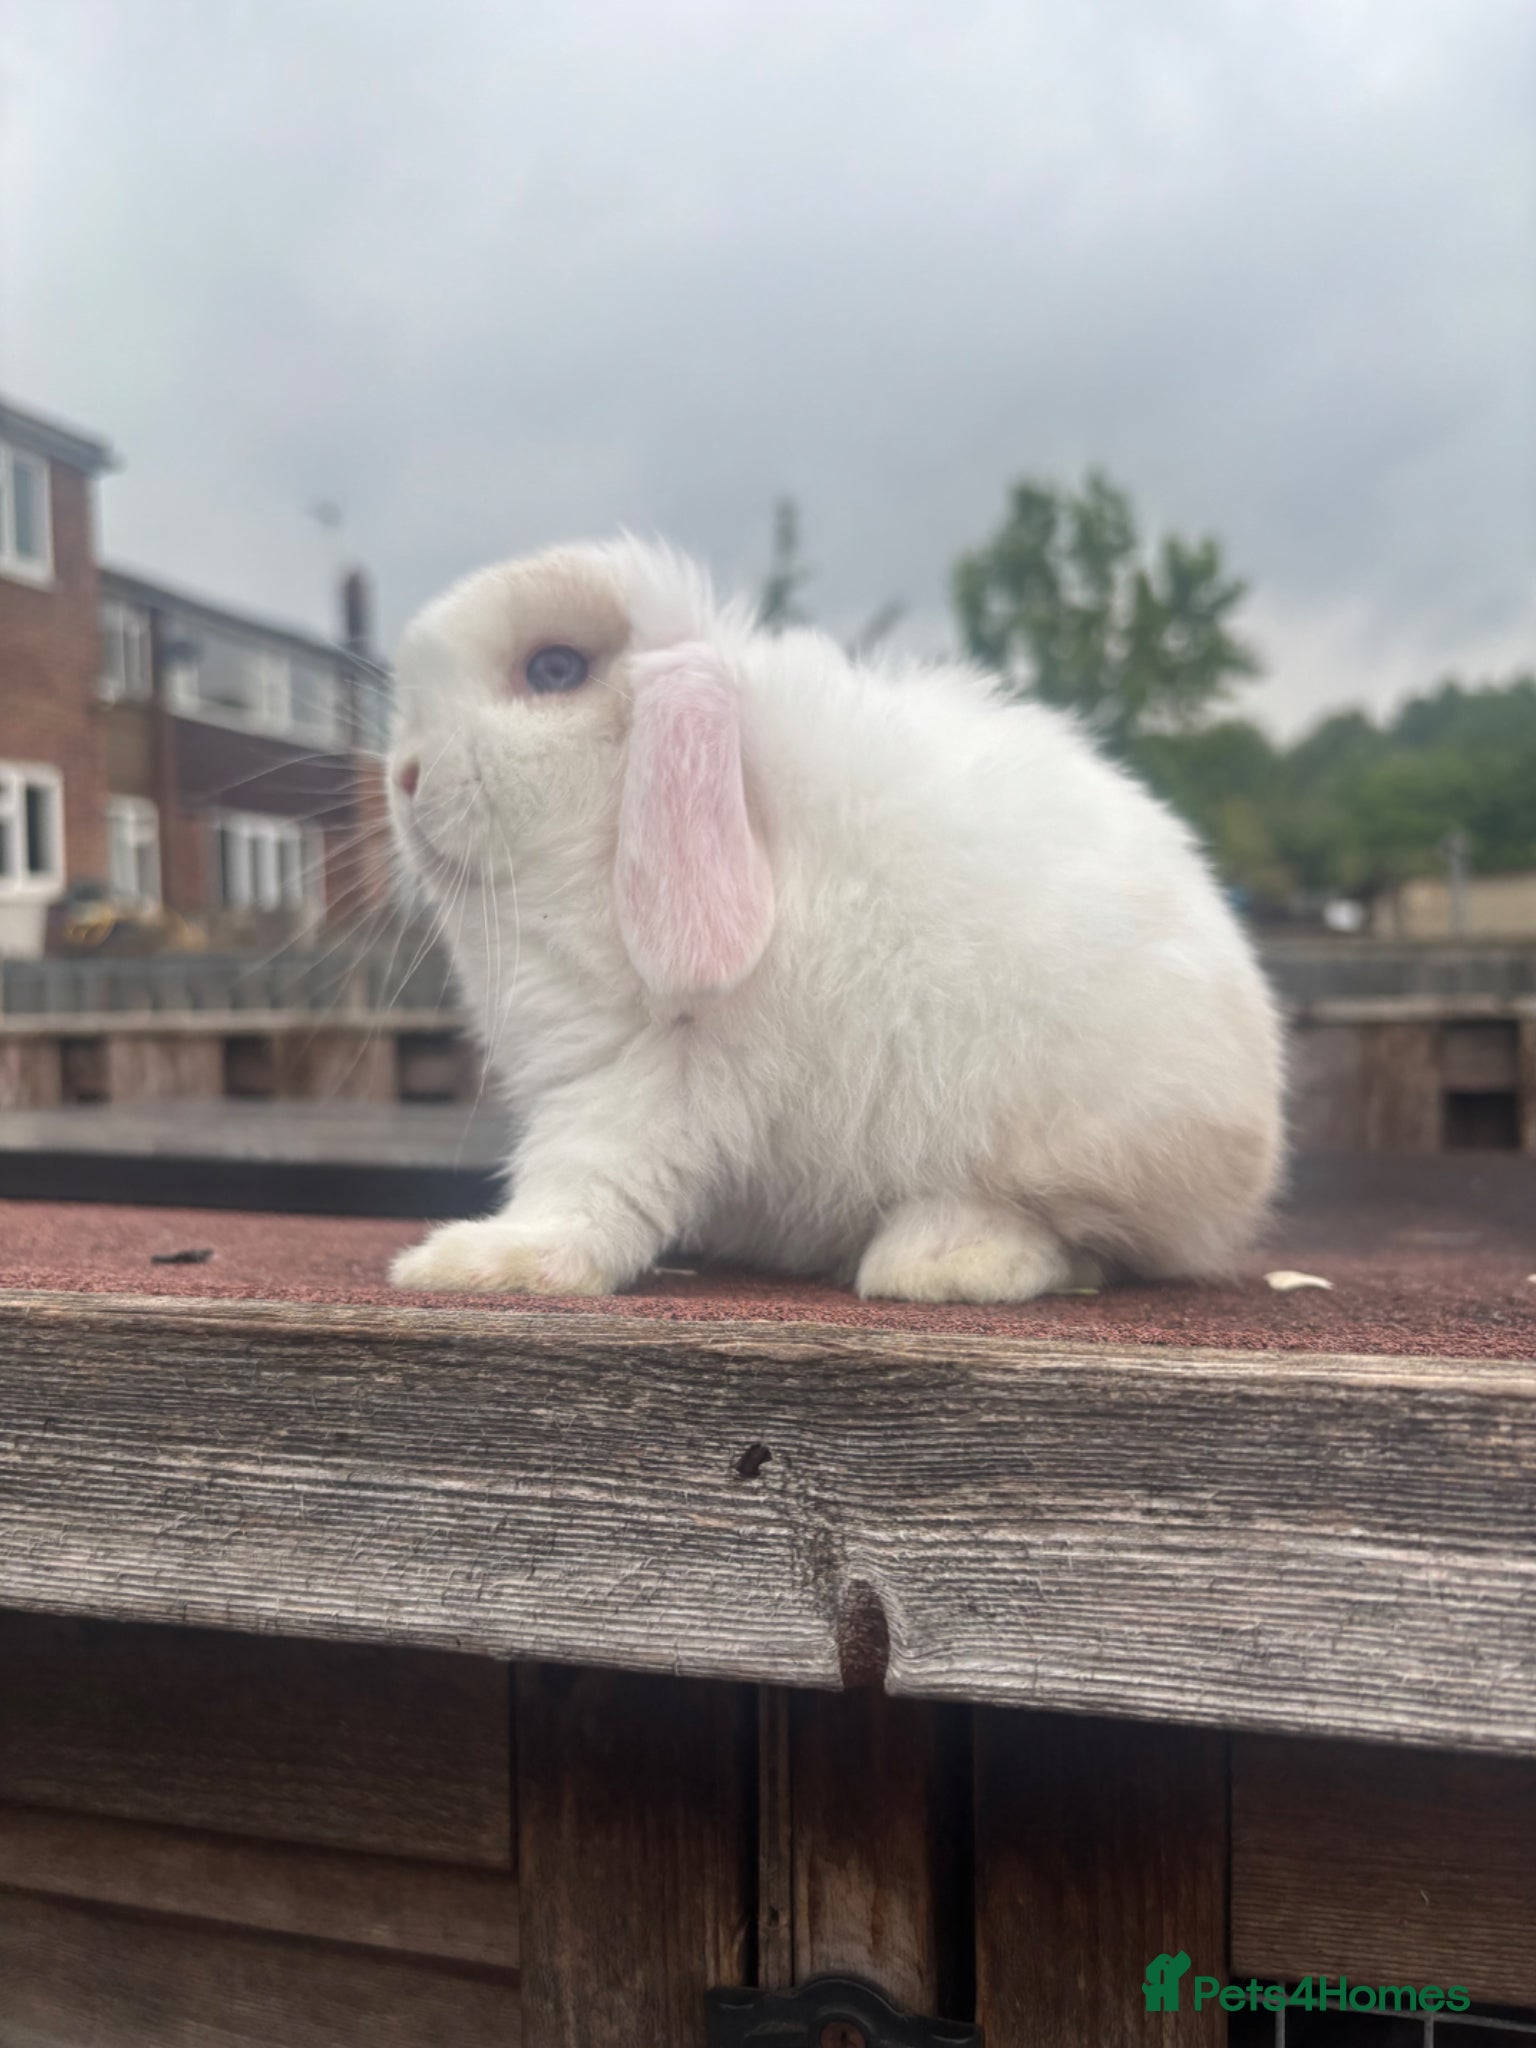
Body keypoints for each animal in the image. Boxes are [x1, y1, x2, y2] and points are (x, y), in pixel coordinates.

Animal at [387, 536, 1284, 1303]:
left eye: (554, 668)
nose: (402, 775)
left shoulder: (647, 1070)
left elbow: (587, 1177)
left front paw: (474, 1259)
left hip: (1079, 1137)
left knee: (1078, 1238)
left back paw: (942, 1259)